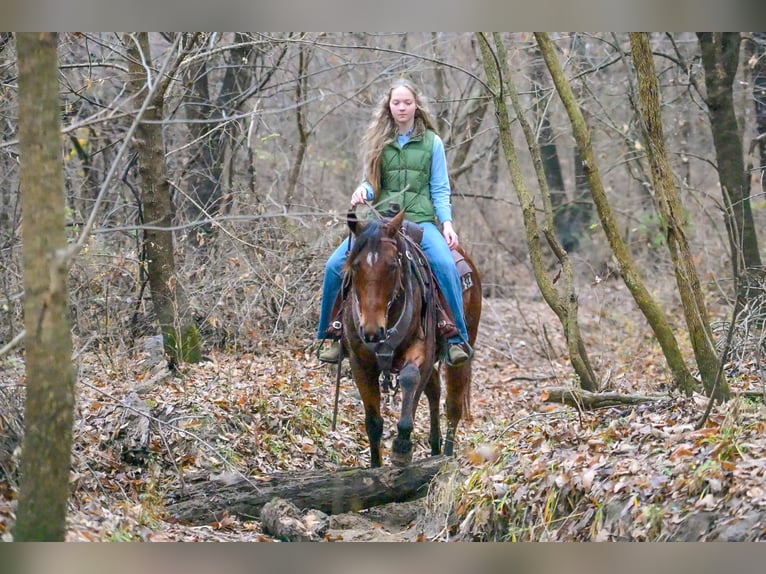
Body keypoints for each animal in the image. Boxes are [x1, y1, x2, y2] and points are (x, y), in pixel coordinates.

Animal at [340, 208, 482, 468]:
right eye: (354, 266)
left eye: (392, 265)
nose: (372, 331)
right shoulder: (359, 362)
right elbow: (373, 423)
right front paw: (376, 466)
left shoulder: (420, 350)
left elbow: (409, 381)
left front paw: (402, 446)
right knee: (434, 388)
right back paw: (435, 448)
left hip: (461, 350)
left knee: (453, 404)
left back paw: (446, 456)